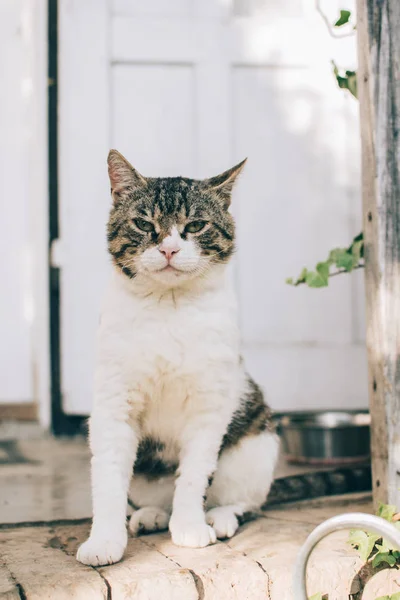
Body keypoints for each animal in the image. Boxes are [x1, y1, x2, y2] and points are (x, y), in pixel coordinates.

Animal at [76, 150, 280, 568]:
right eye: (143, 223)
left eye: (197, 225)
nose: (169, 249)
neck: (168, 306)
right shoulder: (113, 404)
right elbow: (107, 480)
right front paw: (104, 541)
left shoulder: (209, 405)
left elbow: (194, 475)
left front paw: (189, 528)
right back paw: (151, 515)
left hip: (259, 447)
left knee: (246, 502)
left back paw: (218, 517)